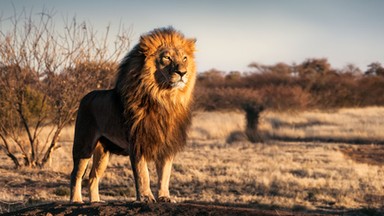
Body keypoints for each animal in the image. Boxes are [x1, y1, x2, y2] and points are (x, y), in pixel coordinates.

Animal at [69, 26, 196, 202]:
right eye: (167, 58)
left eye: (184, 58)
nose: (182, 73)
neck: (164, 98)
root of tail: (86, 96)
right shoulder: (137, 142)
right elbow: (143, 174)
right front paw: (145, 197)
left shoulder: (166, 144)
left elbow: (165, 174)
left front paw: (164, 197)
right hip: (84, 145)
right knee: (76, 175)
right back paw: (76, 200)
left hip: (103, 152)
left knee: (93, 177)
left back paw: (95, 202)